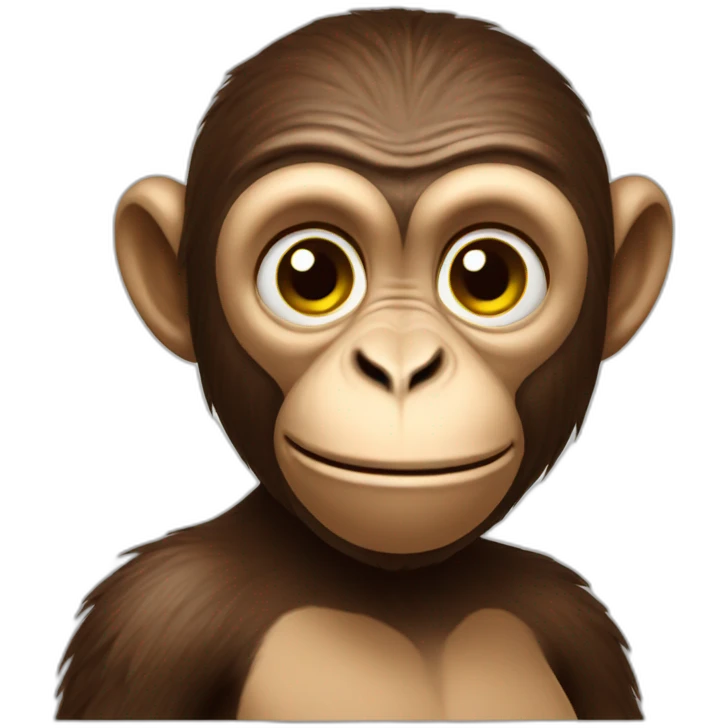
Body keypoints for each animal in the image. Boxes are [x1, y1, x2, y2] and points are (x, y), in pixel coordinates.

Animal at [58, 8, 673, 721]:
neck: (403, 599)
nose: (401, 367)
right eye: (309, 273)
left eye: (487, 274)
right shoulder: (158, 623)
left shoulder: (571, 616)